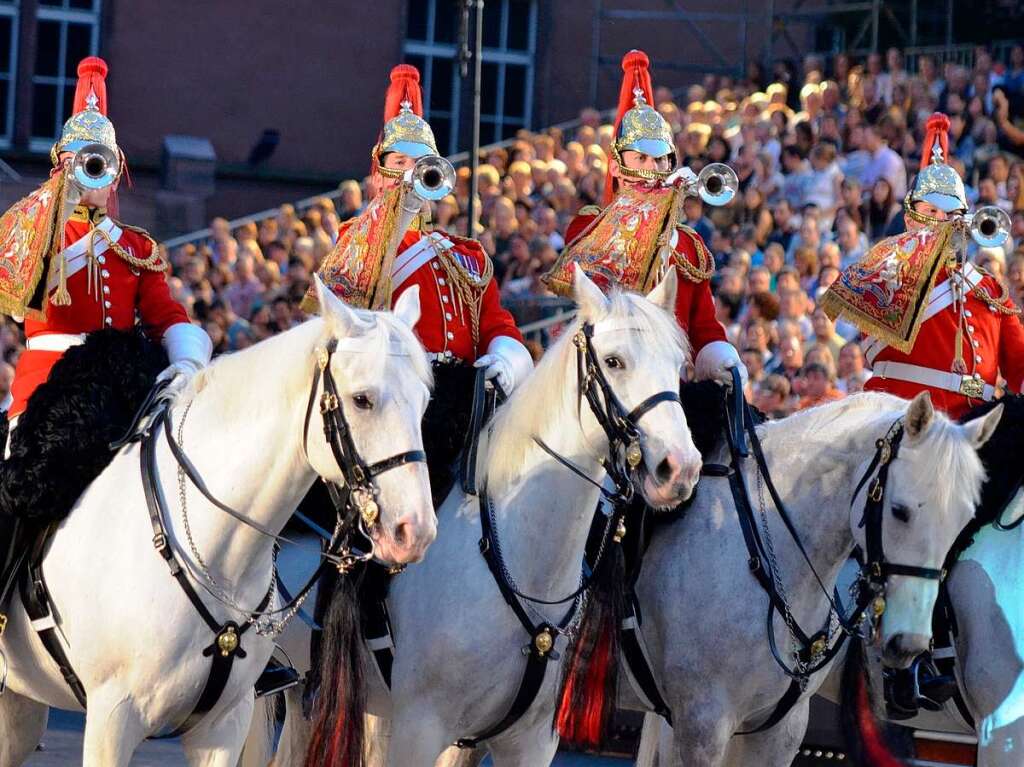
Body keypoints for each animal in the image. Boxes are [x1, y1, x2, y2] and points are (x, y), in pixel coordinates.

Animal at [0, 278, 436, 765]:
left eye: (425, 402)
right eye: (362, 400)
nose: (415, 531)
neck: (216, 552)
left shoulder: (223, 725)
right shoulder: (110, 721)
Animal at [264, 266, 708, 761]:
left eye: (676, 362)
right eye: (613, 361)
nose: (679, 468)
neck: (515, 552)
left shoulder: (529, 740)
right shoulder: (419, 728)